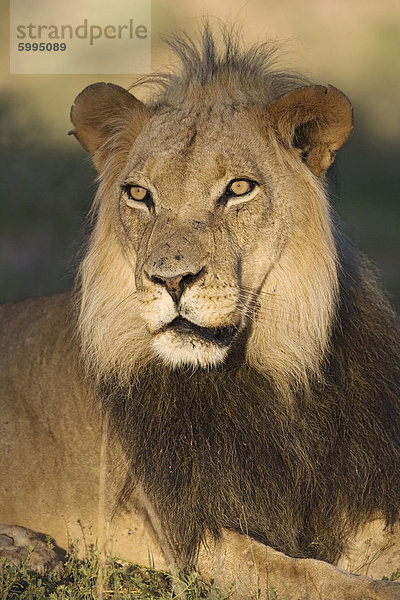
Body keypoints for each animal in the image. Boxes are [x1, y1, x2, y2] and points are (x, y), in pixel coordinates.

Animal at [0, 25, 400, 596]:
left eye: (239, 188)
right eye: (139, 193)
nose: (171, 280)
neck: (274, 372)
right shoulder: (198, 538)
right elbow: (318, 577)